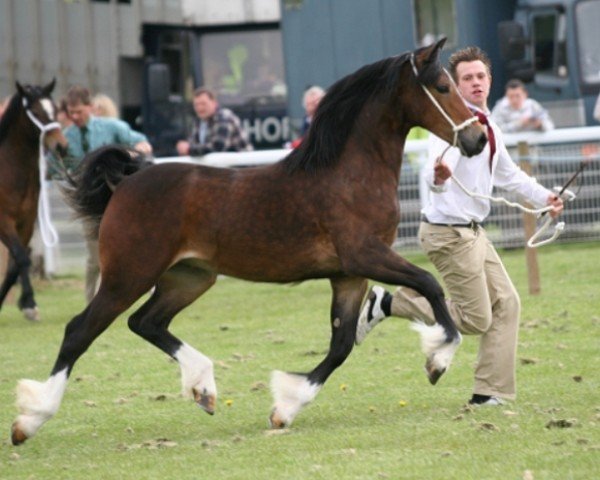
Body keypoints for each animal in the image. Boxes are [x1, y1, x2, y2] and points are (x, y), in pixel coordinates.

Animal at [0, 79, 67, 322]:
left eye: (55, 110)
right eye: (36, 112)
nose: (61, 146)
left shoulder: (26, 223)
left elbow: (16, 265)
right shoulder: (4, 222)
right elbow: (21, 257)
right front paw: (29, 303)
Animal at [10, 39, 488, 444]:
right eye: (442, 86)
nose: (477, 139)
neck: (348, 174)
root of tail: (126, 183)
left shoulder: (348, 275)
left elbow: (340, 346)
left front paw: (285, 408)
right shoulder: (366, 256)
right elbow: (430, 285)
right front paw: (438, 359)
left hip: (190, 277)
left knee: (146, 322)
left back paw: (203, 387)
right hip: (128, 275)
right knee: (80, 331)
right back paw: (29, 420)